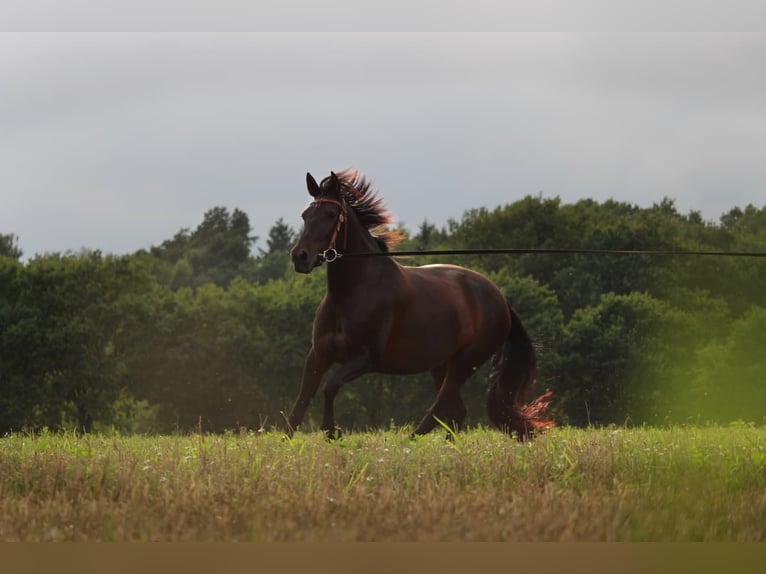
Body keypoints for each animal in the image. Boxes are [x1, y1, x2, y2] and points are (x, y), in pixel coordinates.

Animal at [287, 169, 552, 440]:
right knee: (455, 410)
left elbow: (330, 387)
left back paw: (412, 439)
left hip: (466, 362)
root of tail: (500, 299)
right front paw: (290, 440)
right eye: (305, 215)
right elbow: (300, 403)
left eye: (331, 214)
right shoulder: (318, 355)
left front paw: (331, 431)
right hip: (441, 365)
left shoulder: (364, 358)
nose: (300, 257)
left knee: (443, 406)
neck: (351, 293)